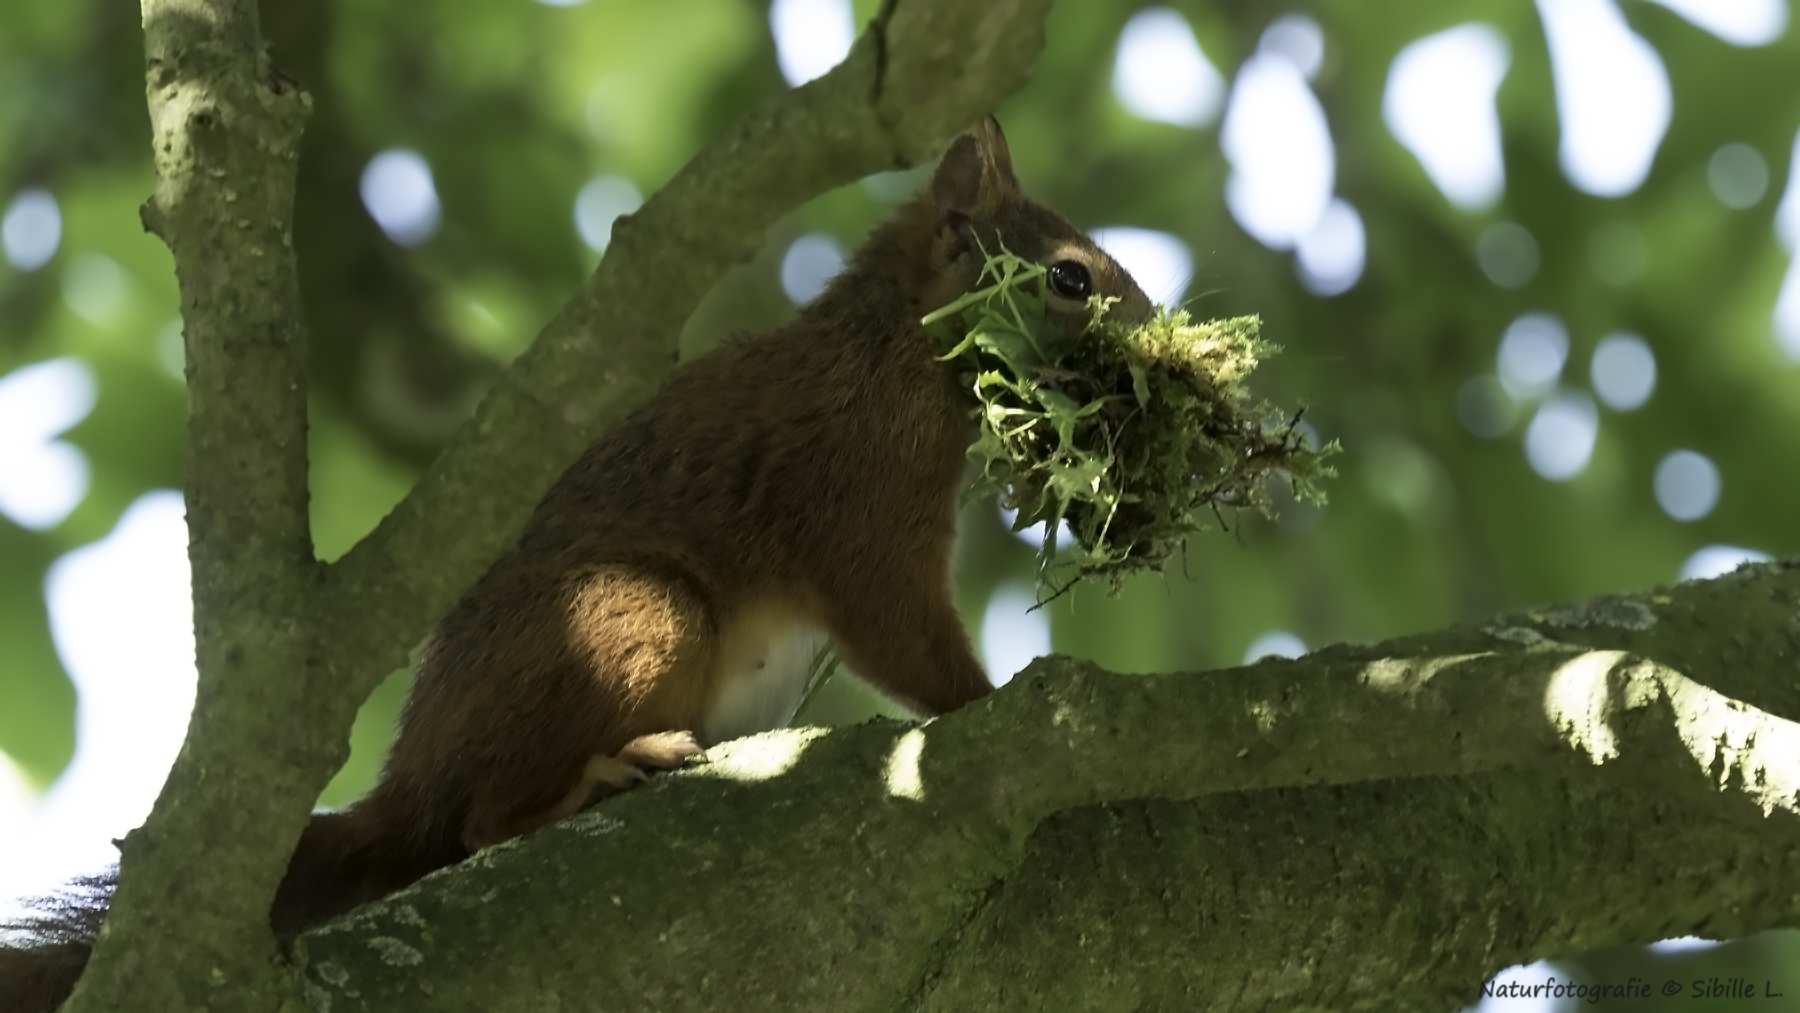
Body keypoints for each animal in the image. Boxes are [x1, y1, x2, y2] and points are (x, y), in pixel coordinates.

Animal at [0, 116, 1152, 1007]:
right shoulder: (860, 489)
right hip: (631, 614)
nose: (1151, 345)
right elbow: (900, 629)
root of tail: (408, 782)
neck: (895, 341)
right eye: (1069, 276)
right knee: (480, 822)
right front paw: (995, 701)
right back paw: (605, 771)